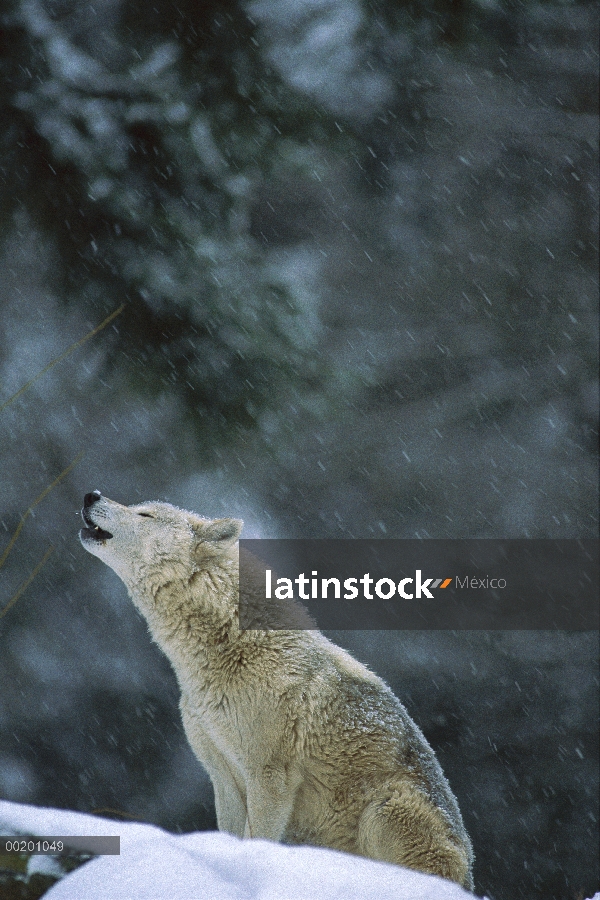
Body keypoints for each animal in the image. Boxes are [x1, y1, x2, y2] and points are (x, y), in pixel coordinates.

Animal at [79, 492, 474, 884]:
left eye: (144, 514)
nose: (91, 495)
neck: (229, 649)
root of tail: (469, 878)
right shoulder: (222, 776)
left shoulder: (270, 777)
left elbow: (257, 839)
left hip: (382, 811)